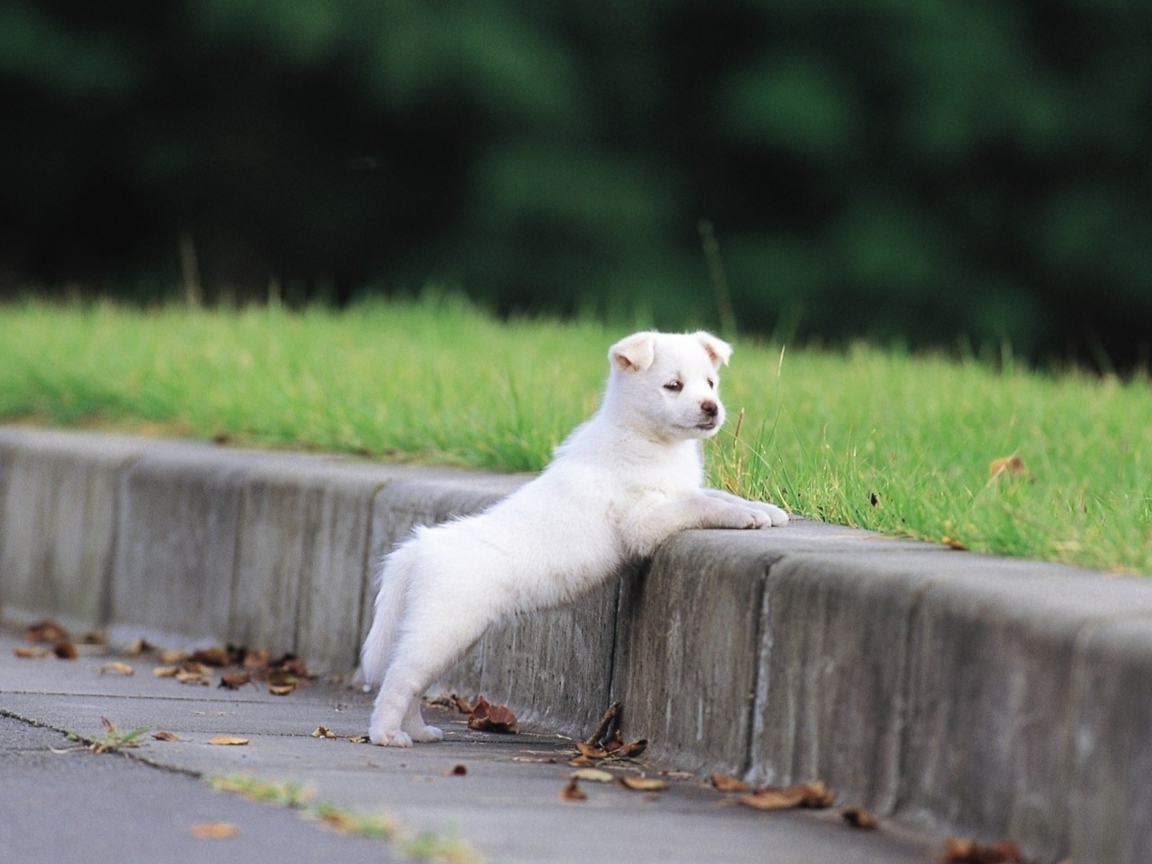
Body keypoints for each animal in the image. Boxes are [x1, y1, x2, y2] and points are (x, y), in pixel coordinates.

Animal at [364, 327, 787, 746]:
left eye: (711, 383)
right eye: (673, 385)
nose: (711, 407)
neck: (645, 437)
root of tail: (420, 547)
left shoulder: (677, 491)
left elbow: (714, 495)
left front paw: (766, 509)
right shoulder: (646, 520)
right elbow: (701, 505)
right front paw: (746, 515)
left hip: (452, 636)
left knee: (415, 683)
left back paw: (418, 730)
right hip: (442, 628)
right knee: (399, 678)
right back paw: (387, 734)